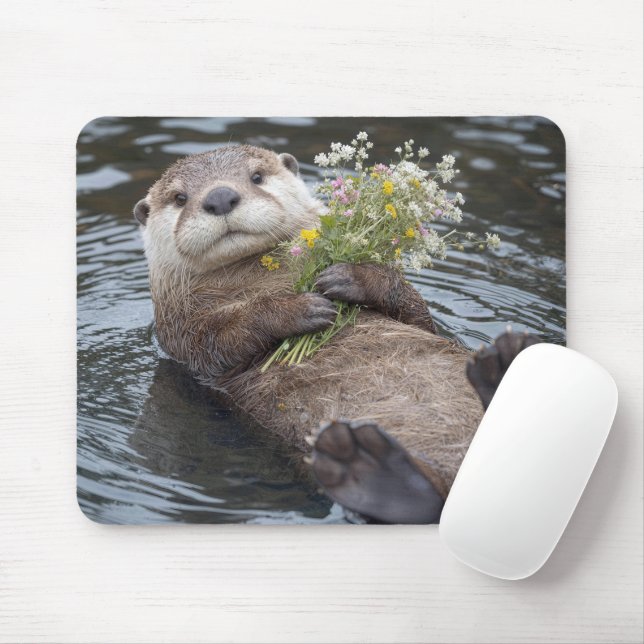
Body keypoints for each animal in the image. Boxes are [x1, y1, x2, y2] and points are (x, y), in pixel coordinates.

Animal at [134, 144, 539, 523]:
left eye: (256, 177)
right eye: (180, 198)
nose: (219, 197)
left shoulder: (419, 317)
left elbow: (417, 312)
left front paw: (348, 276)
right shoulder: (179, 333)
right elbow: (219, 341)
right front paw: (298, 309)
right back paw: (366, 464)